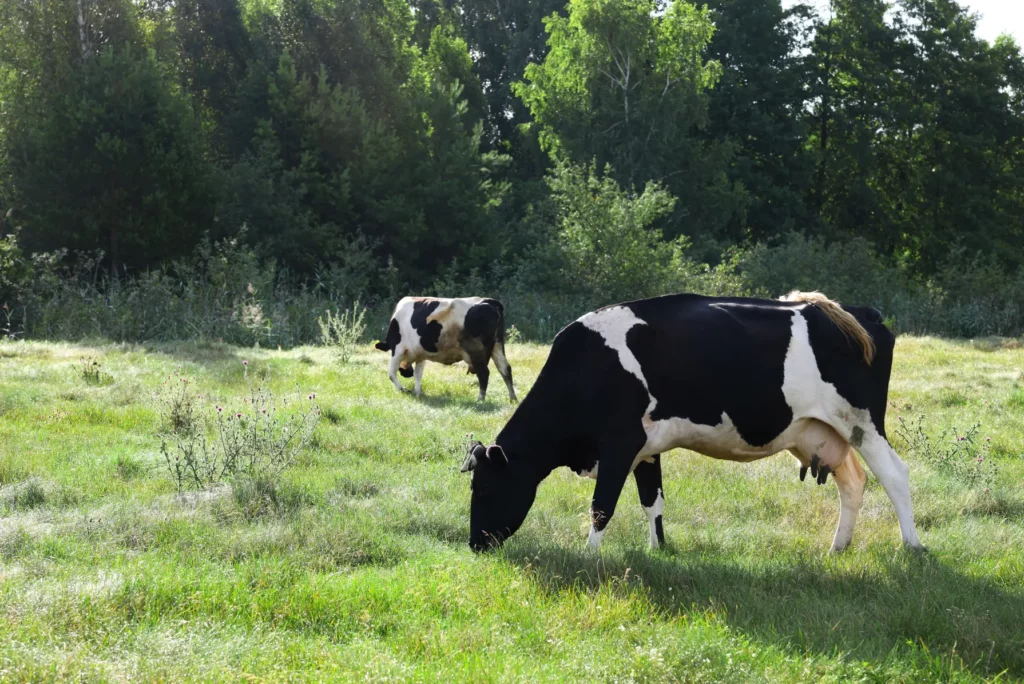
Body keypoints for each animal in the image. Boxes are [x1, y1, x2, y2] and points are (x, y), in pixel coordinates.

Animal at [375, 296, 516, 402]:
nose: (406, 373)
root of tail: (490, 301)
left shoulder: (397, 348)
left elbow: (391, 374)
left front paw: (403, 389)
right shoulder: (421, 354)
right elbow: (418, 375)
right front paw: (417, 392)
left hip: (476, 351)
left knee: (484, 373)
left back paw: (480, 400)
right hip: (498, 346)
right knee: (505, 369)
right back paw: (512, 398)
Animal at [461, 291, 924, 554]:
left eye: (482, 488)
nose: (474, 544)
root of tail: (859, 313)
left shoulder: (619, 443)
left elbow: (601, 507)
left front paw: (589, 557)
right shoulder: (646, 447)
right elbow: (652, 501)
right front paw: (658, 550)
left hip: (861, 422)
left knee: (895, 475)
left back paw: (912, 547)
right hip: (823, 431)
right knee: (854, 484)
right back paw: (838, 547)